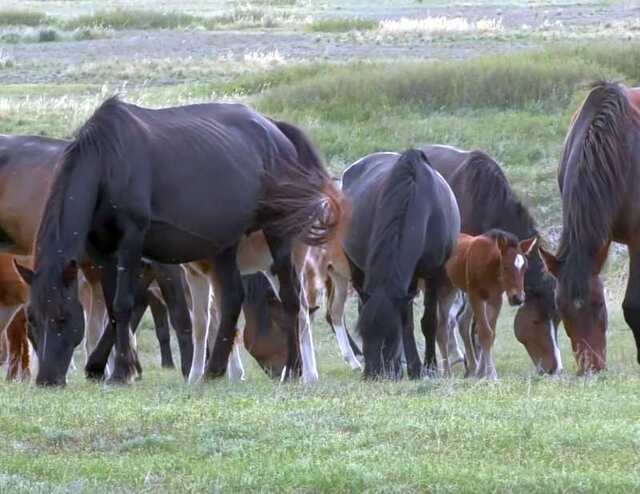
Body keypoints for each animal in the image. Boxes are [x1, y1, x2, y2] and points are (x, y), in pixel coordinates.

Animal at [16, 97, 340, 386]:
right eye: (31, 319)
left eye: (61, 318)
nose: (46, 379)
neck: (108, 162)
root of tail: (276, 130)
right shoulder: (103, 250)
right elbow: (112, 309)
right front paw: (103, 367)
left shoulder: (132, 242)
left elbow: (123, 304)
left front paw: (120, 372)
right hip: (224, 245)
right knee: (232, 298)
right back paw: (214, 370)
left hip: (277, 234)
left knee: (291, 300)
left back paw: (293, 370)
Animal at [340, 150, 460, 378]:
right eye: (364, 334)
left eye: (390, 336)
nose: (373, 374)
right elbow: (405, 322)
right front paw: (410, 367)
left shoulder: (433, 274)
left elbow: (426, 322)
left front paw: (427, 367)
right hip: (356, 268)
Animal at [442, 229, 536, 378]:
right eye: (505, 266)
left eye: (525, 268)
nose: (518, 298)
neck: (488, 266)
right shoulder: (476, 297)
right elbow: (484, 333)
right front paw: (491, 374)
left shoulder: (495, 300)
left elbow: (490, 334)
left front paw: (481, 372)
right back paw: (446, 370)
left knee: (462, 322)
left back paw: (472, 368)